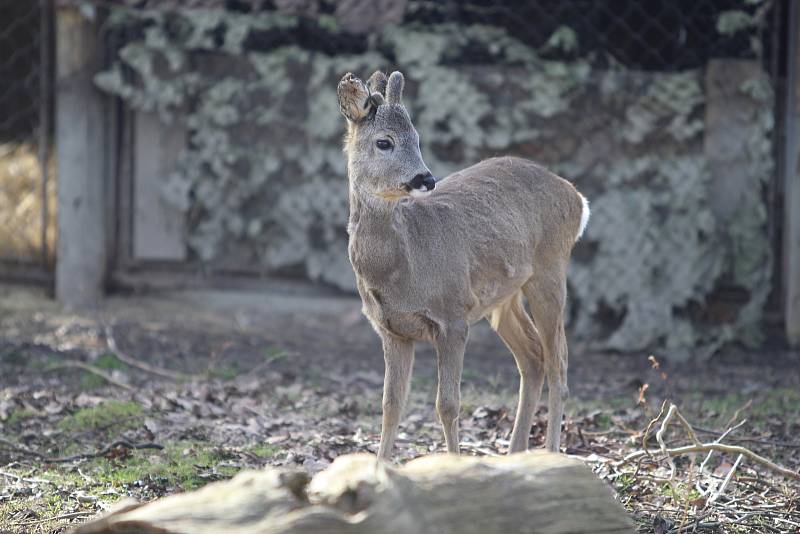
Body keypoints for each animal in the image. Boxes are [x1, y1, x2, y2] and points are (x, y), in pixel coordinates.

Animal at [334, 70, 592, 460]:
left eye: (417, 138)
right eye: (384, 142)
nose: (425, 179)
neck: (404, 266)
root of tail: (576, 196)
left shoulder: (453, 315)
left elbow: (448, 405)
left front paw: (454, 463)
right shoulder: (391, 329)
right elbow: (391, 405)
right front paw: (379, 468)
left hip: (551, 267)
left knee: (558, 363)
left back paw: (550, 454)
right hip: (503, 297)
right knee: (533, 357)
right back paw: (514, 454)